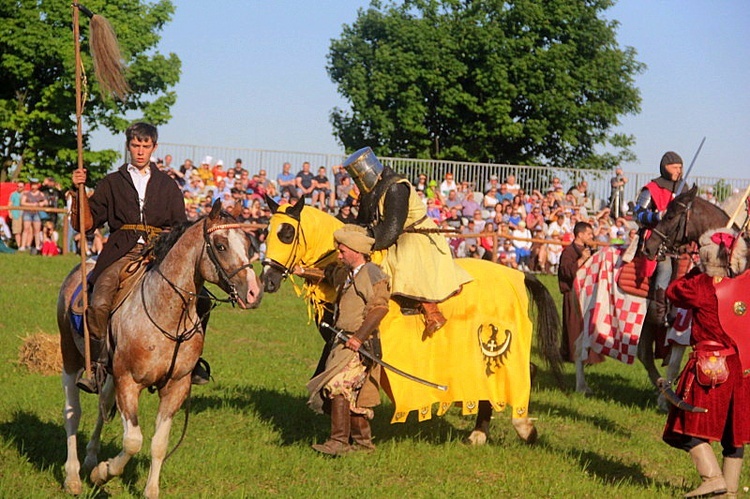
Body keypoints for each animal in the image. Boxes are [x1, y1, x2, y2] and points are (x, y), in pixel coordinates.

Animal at [56, 201, 262, 498]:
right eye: (221, 245)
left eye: (248, 244)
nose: (254, 293)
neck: (165, 312)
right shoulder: (128, 382)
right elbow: (133, 441)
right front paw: (103, 473)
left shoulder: (176, 386)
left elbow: (159, 443)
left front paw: (147, 488)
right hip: (70, 356)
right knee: (73, 412)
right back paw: (73, 477)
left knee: (103, 405)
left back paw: (91, 458)